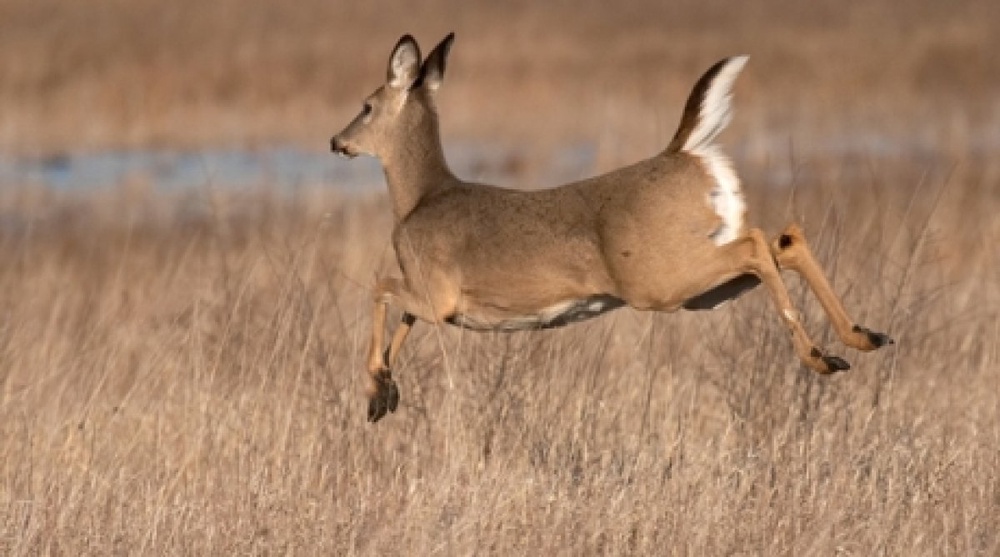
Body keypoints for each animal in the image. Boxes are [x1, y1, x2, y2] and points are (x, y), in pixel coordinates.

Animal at [332, 32, 896, 422]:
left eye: (365, 105)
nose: (337, 142)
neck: (419, 199)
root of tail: (683, 151)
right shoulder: (430, 298)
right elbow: (400, 319)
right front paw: (383, 396)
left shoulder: (439, 294)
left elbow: (380, 288)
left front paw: (377, 387)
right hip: (701, 285)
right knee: (784, 237)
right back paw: (863, 338)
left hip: (659, 280)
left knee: (758, 244)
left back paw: (821, 357)